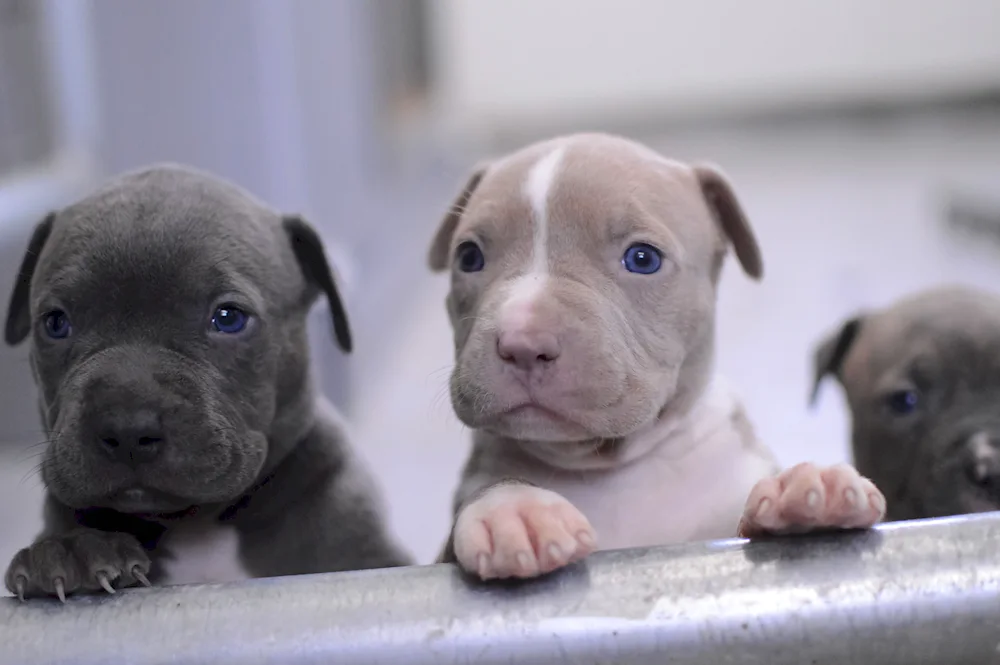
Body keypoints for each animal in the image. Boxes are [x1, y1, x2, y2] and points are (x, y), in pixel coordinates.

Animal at [428, 134, 884, 576]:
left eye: (642, 258)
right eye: (468, 256)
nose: (523, 343)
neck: (611, 470)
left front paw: (806, 488)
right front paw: (514, 507)